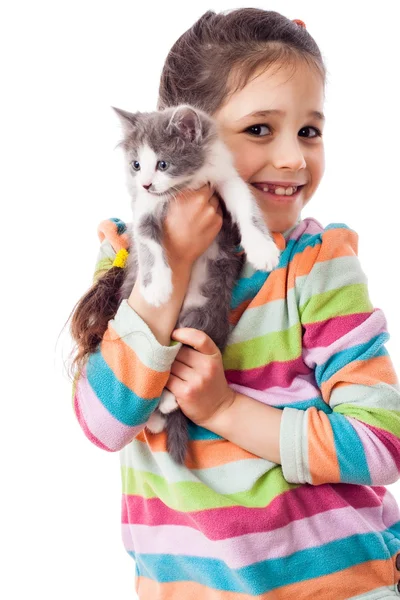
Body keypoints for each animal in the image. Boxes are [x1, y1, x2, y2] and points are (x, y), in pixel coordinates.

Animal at [111, 104, 282, 464]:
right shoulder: (144, 209)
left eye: (163, 163)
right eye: (136, 164)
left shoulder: (227, 177)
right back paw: (159, 414)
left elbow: (247, 208)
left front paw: (262, 250)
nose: (146, 183)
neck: (185, 186)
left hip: (200, 317)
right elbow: (148, 244)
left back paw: (165, 406)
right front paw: (158, 287)